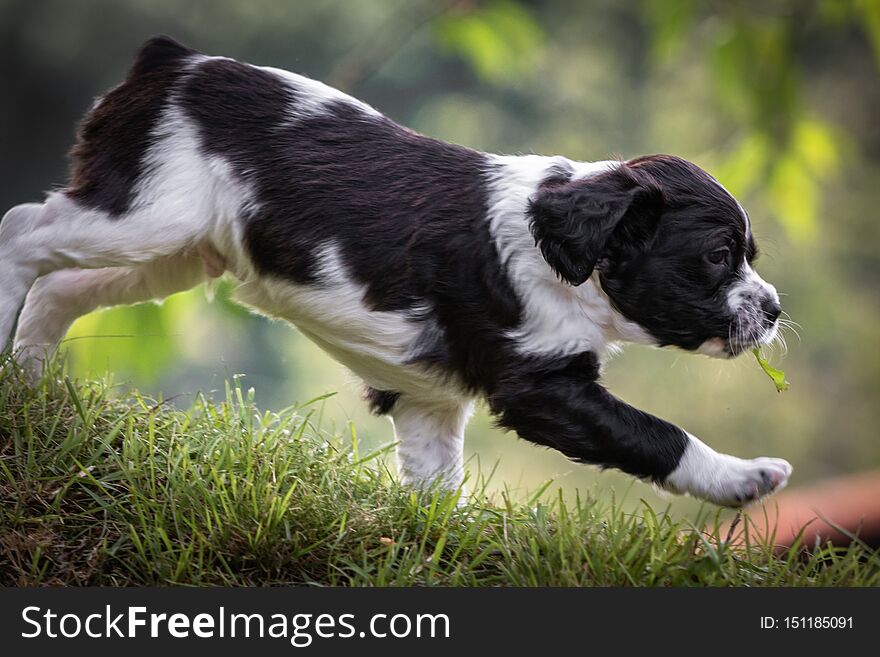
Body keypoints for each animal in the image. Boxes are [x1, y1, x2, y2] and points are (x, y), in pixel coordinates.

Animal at [0, 37, 796, 508]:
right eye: (718, 257)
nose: (775, 310)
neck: (562, 251)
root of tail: (172, 59)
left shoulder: (427, 399)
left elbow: (437, 492)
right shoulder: (542, 386)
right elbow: (654, 432)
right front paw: (747, 476)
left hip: (172, 253)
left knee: (59, 287)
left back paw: (27, 385)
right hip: (147, 217)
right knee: (21, 231)